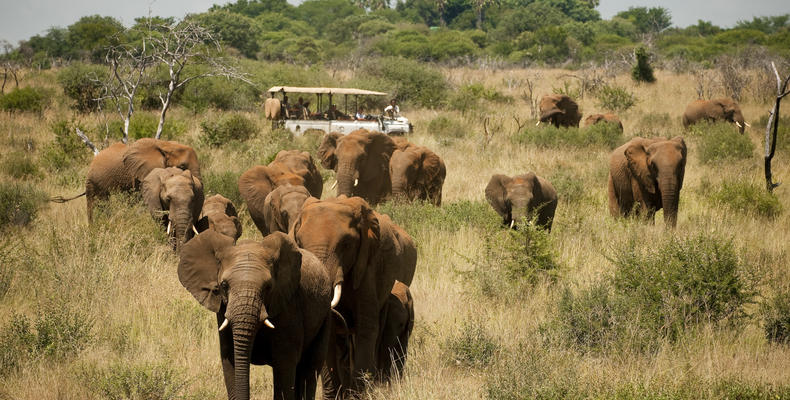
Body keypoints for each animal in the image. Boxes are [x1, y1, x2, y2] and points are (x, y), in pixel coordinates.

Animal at [179, 231, 332, 400]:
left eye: (268, 287)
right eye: (224, 285)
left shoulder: (290, 307)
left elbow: (284, 366)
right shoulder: (222, 310)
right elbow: (230, 358)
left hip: (325, 316)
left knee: (309, 368)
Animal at [292, 195, 420, 396]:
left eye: (346, 245)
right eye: (300, 243)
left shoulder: (367, 267)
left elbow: (365, 326)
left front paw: (361, 393)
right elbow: (330, 333)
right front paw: (335, 395)